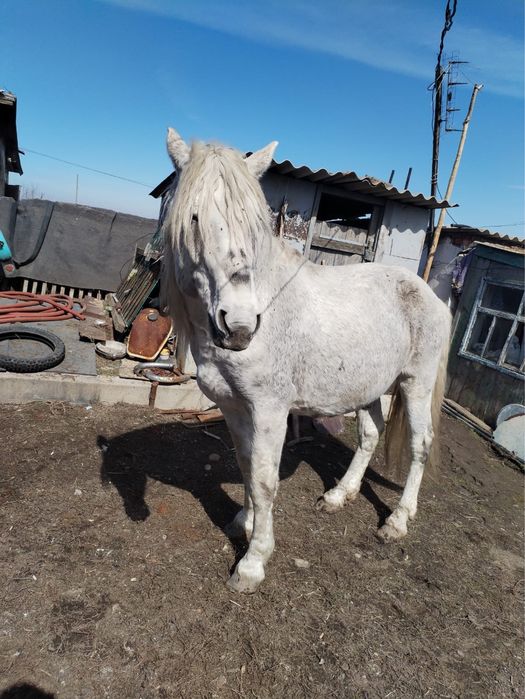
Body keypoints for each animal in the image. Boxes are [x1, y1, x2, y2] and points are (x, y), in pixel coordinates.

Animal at [161, 128, 451, 593]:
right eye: (193, 217)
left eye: (255, 225)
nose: (238, 325)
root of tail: (431, 296)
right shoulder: (233, 406)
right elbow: (246, 465)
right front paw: (243, 523)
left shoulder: (269, 410)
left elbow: (265, 480)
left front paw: (253, 561)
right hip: (368, 386)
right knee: (370, 435)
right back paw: (339, 495)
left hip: (415, 383)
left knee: (419, 444)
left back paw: (397, 521)